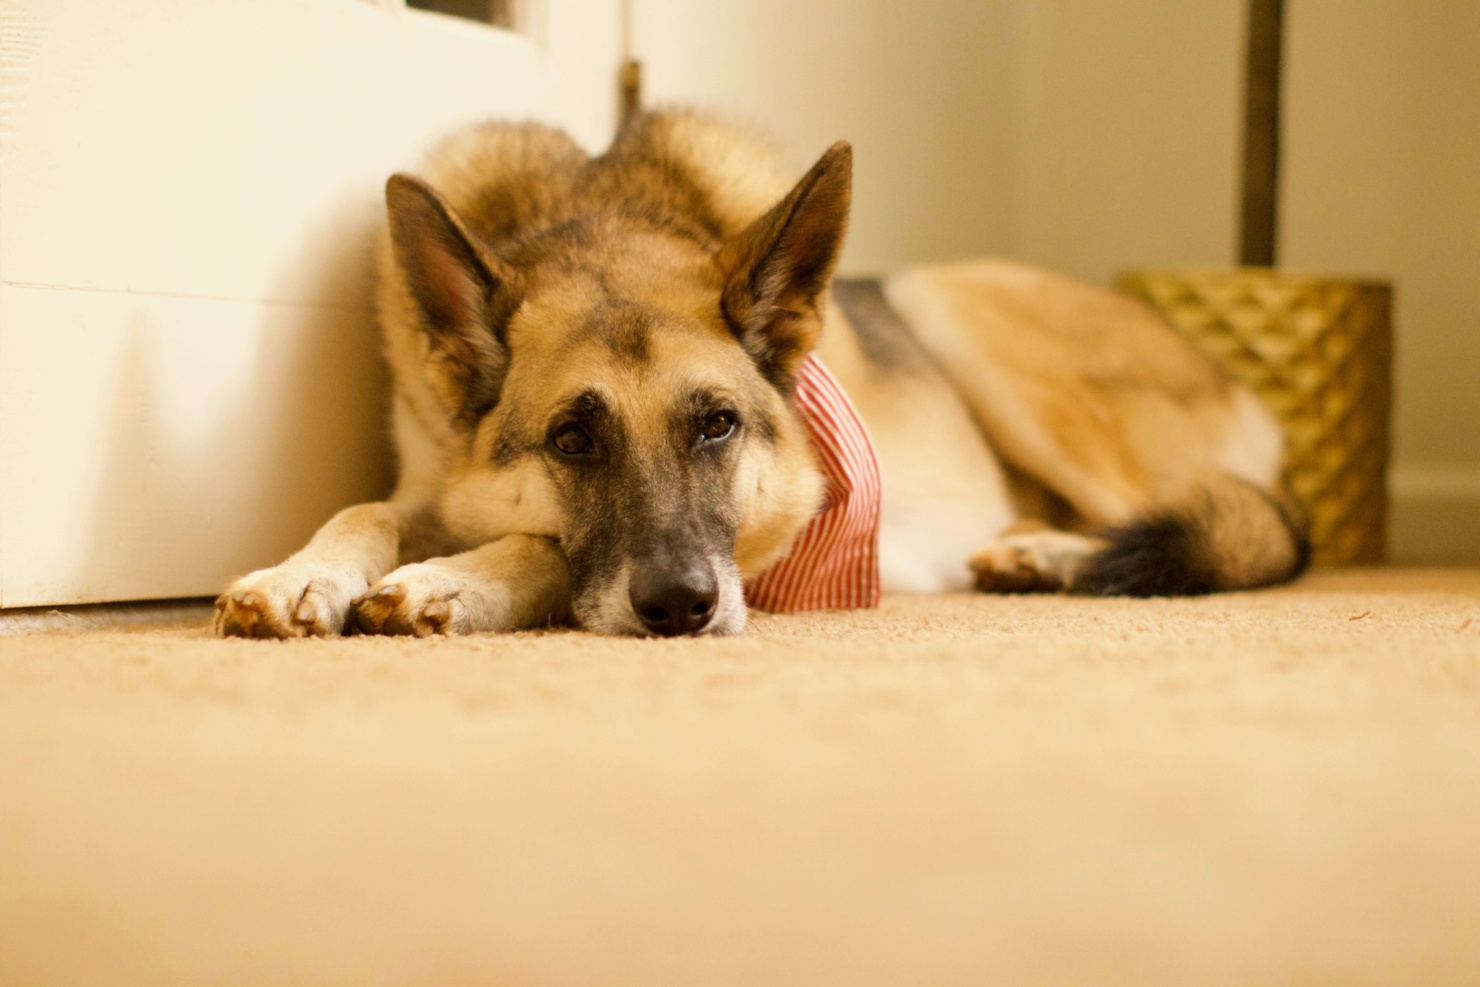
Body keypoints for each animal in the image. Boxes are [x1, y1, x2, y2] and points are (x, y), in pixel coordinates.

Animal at [211, 110, 1308, 642]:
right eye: (572, 438)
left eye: (718, 425)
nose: (681, 610)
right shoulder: (425, 482)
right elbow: (366, 510)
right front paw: (302, 572)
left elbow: (540, 547)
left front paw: (448, 583)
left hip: (950, 304)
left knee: (1217, 521)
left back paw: (1054, 554)